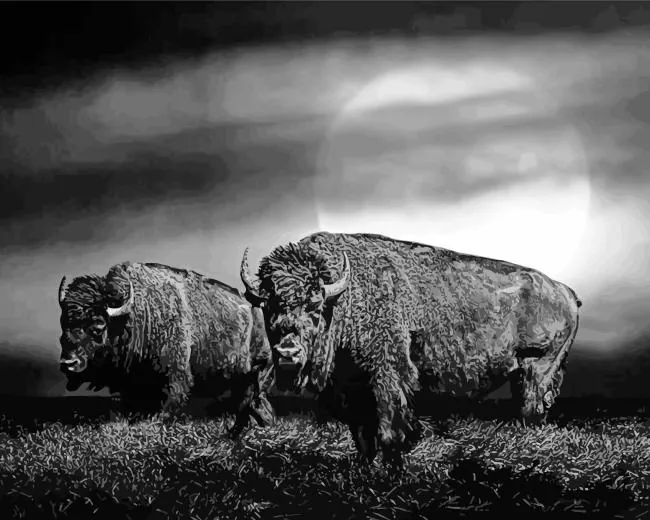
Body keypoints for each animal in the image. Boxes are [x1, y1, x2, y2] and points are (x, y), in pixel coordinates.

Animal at [58, 261, 274, 438]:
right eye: (63, 325)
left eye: (97, 327)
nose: (68, 363)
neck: (134, 316)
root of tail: (255, 308)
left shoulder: (174, 379)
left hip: (259, 371)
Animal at [240, 232, 582, 467]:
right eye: (269, 307)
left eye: (314, 307)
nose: (287, 353)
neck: (346, 296)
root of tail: (565, 291)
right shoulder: (349, 388)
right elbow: (361, 433)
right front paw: (366, 466)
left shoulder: (387, 373)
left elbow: (389, 423)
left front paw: (391, 463)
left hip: (537, 369)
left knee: (530, 411)